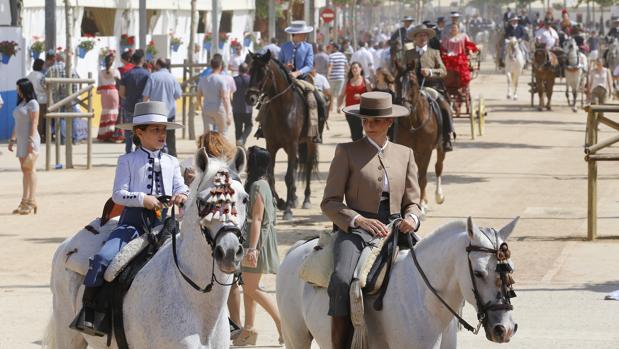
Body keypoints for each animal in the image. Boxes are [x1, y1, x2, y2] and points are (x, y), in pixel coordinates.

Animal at [245, 50, 318, 219]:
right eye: (250, 70)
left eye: (264, 73)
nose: (250, 97)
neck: (283, 108)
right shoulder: (271, 145)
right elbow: (271, 176)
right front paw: (281, 202)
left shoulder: (292, 144)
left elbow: (289, 177)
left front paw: (288, 210)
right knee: (297, 163)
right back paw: (294, 198)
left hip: (309, 142)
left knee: (308, 166)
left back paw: (306, 199)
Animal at [276, 216, 520, 346]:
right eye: (478, 273)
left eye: (510, 271)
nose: (505, 329)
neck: (426, 301)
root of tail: (296, 250)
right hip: (295, 337)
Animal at [394, 70, 448, 215]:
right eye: (396, 81)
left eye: (412, 83)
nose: (404, 107)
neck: (413, 122)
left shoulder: (426, 151)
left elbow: (423, 178)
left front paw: (423, 204)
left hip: (440, 148)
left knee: (438, 167)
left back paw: (439, 195)